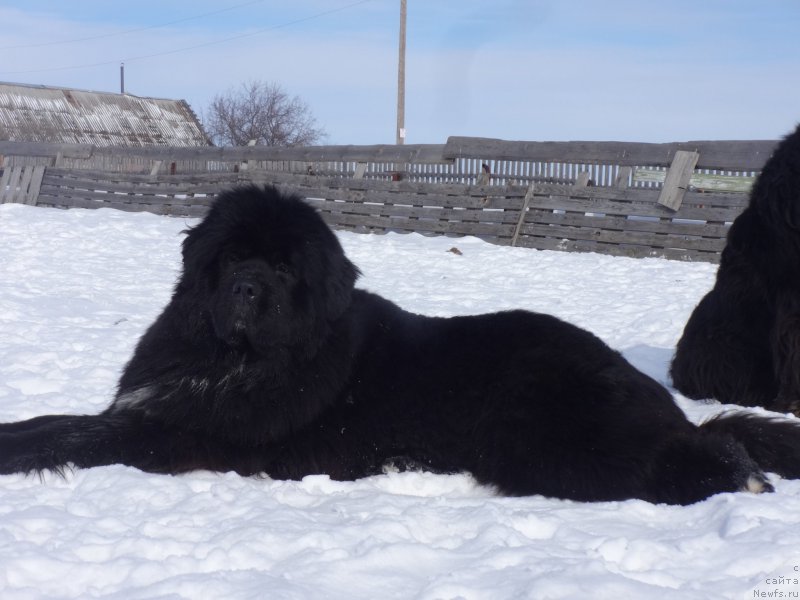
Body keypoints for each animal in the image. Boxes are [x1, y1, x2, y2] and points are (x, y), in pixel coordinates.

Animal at [1, 185, 800, 504]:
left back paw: (741, 476)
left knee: (683, 457)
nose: (248, 290)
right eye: (231, 260)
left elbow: (74, 433)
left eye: (284, 268)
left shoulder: (181, 434)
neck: (231, 362)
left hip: (547, 436)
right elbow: (58, 420)